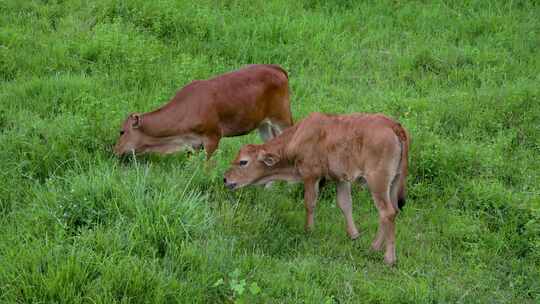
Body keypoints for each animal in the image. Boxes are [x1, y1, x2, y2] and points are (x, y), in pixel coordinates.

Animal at [112, 64, 294, 159]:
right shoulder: (193, 145)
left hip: (282, 119)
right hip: (264, 125)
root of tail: (278, 69)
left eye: (122, 132)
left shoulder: (213, 137)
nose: (114, 151)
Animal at [224, 113, 410, 264]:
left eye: (243, 162)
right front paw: (354, 235)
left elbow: (309, 203)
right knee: (391, 212)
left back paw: (388, 258)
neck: (298, 136)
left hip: (377, 182)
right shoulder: (340, 178)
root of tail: (393, 125)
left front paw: (309, 230)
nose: (225, 178)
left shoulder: (310, 176)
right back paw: (373, 247)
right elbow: (345, 204)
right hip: (393, 183)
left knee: (387, 212)